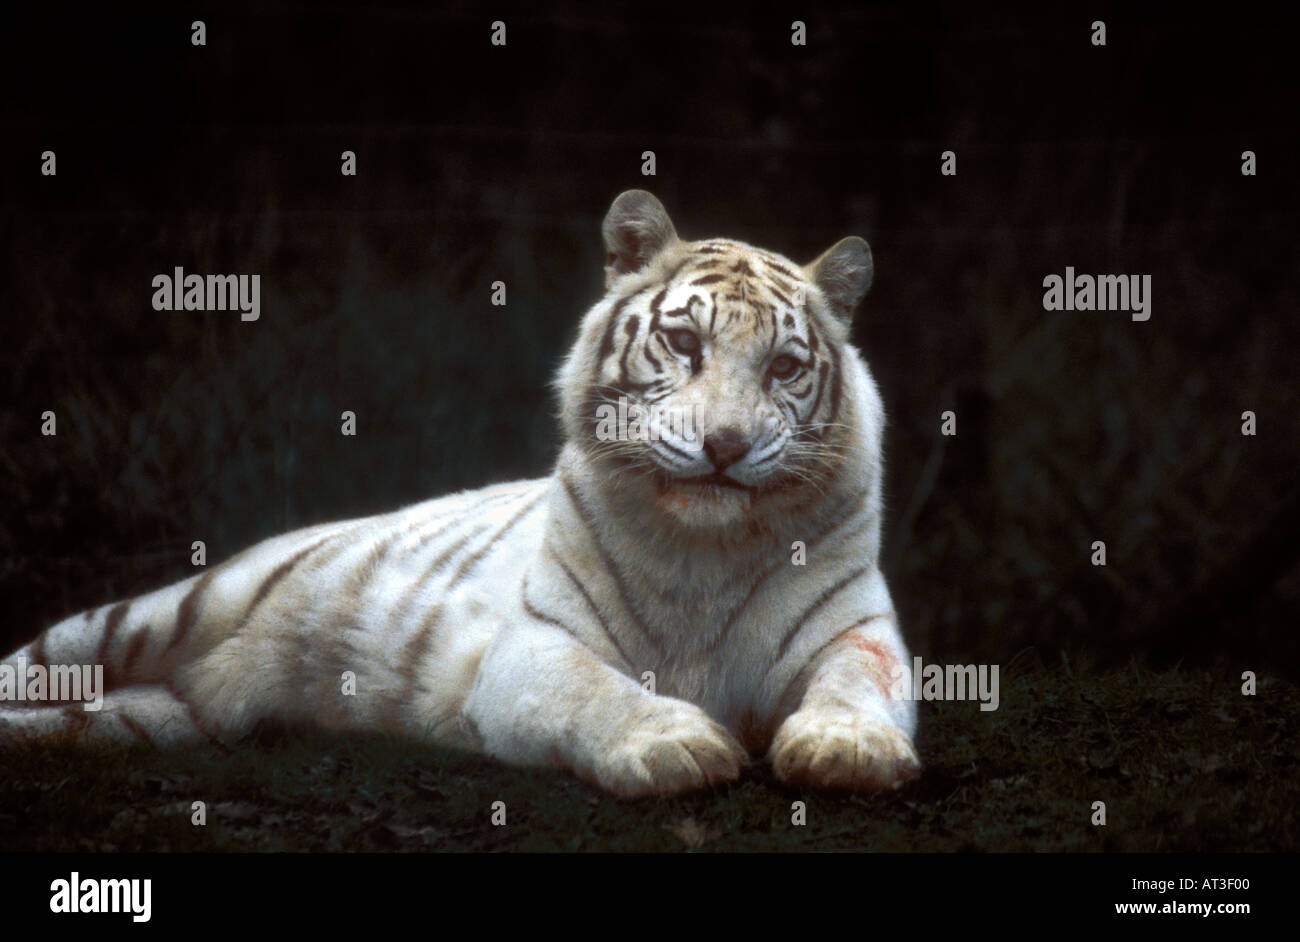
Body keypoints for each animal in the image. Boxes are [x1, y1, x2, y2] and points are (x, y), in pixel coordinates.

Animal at [1, 190, 920, 797]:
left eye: (786, 367)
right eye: (685, 342)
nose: (725, 445)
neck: (703, 544)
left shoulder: (855, 631)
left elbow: (855, 684)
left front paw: (846, 746)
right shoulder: (536, 645)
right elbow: (597, 690)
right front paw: (674, 744)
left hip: (148, 717)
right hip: (157, 614)